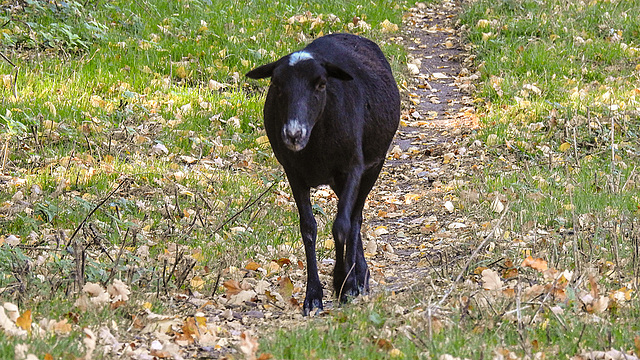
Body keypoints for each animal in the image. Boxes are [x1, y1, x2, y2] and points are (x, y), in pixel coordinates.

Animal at [246, 33, 400, 316]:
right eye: (277, 85)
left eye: (321, 84)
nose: (293, 134)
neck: (316, 147)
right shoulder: (294, 173)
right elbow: (308, 229)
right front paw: (313, 297)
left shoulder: (353, 167)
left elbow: (341, 226)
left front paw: (343, 284)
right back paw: (361, 274)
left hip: (372, 166)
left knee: (355, 218)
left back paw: (357, 278)